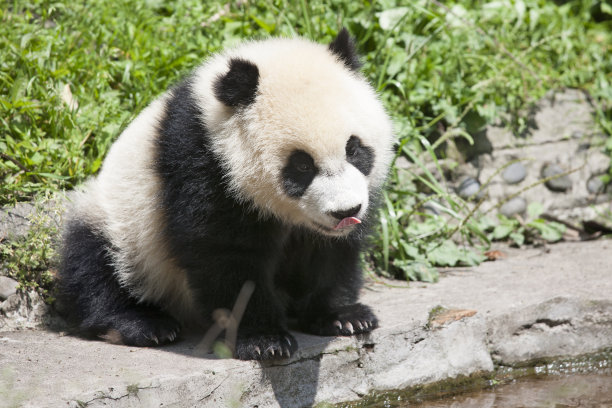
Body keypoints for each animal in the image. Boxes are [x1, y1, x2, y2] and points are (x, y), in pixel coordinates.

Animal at [56, 28, 392, 360]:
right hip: (121, 221)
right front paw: (264, 340)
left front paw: (345, 317)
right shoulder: (202, 164)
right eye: (301, 165)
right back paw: (143, 324)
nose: (345, 212)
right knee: (92, 263)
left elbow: (329, 253)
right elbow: (225, 255)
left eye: (353, 149)